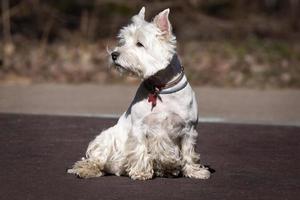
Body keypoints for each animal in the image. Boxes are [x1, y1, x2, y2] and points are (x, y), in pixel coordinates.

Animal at [67, 7, 210, 180]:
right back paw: (86, 170)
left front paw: (195, 171)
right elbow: (140, 149)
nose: (114, 55)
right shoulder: (139, 127)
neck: (160, 88)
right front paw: (141, 172)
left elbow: (188, 152)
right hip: (105, 139)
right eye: (123, 41)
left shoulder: (188, 129)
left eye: (139, 44)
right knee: (95, 159)